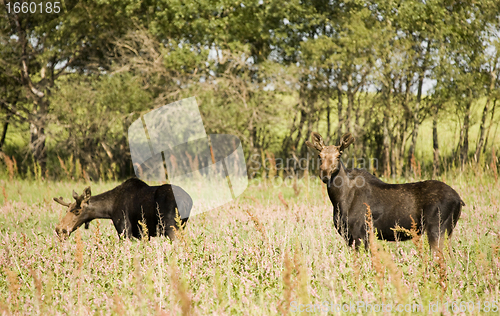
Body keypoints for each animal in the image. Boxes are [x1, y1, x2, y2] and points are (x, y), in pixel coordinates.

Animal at [54, 178, 191, 239]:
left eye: (77, 211)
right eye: (66, 210)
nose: (59, 229)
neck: (108, 210)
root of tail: (188, 201)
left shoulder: (124, 230)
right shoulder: (143, 234)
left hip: (172, 227)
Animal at [304, 132, 464, 253]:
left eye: (338, 155)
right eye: (319, 156)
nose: (325, 174)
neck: (339, 200)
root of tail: (459, 200)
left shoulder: (360, 233)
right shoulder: (348, 236)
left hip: (437, 227)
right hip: (447, 231)